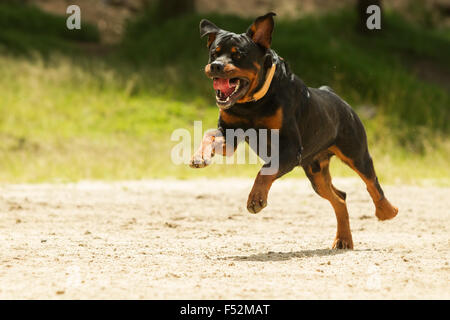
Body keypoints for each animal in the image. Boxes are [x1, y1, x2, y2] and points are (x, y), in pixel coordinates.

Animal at [190, 12, 398, 249]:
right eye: (213, 53)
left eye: (238, 55)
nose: (216, 66)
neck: (253, 103)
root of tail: (335, 95)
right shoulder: (230, 135)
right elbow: (208, 134)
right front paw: (200, 156)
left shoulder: (289, 148)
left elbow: (265, 171)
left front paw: (256, 199)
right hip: (316, 173)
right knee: (340, 197)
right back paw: (343, 239)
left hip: (355, 152)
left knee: (372, 183)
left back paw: (386, 211)